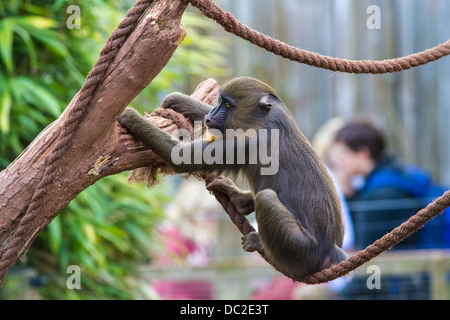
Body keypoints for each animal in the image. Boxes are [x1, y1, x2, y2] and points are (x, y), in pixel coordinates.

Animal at [118, 77, 346, 280]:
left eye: (228, 105)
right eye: (219, 101)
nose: (210, 116)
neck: (265, 119)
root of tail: (329, 249)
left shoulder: (246, 141)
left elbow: (182, 157)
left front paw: (130, 116)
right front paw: (175, 99)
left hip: (301, 250)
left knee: (266, 198)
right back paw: (239, 200)